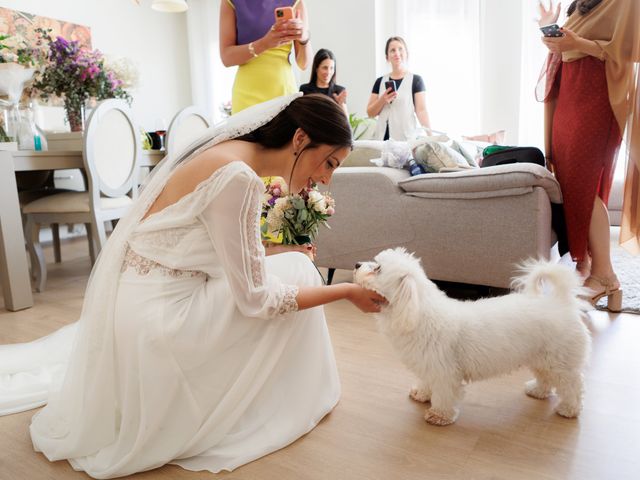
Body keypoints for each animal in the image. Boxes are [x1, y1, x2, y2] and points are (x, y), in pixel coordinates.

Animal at [352, 249, 592, 426]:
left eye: (378, 268)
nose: (355, 264)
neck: (417, 313)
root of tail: (561, 302)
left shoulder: (444, 372)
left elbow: (444, 395)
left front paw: (439, 415)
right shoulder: (428, 366)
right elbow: (426, 383)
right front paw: (421, 394)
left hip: (560, 362)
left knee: (572, 385)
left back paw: (569, 409)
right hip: (541, 358)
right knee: (545, 379)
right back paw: (537, 391)